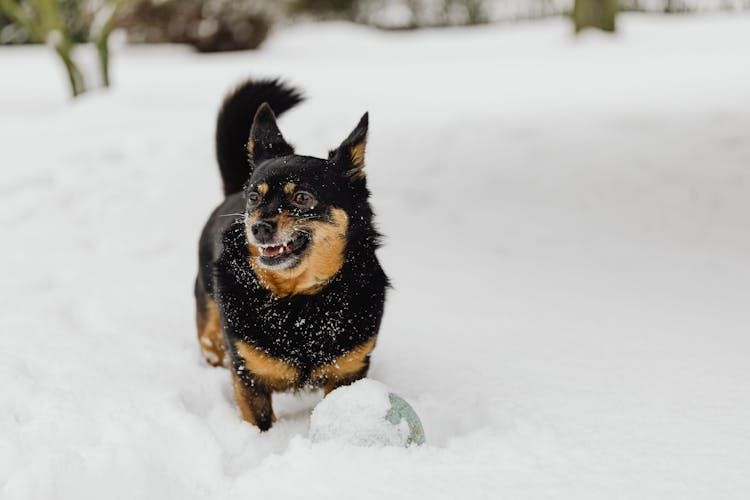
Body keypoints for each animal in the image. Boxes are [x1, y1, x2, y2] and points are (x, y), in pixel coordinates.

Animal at [194, 78, 390, 430]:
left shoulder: (348, 373)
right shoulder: (248, 377)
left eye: (301, 197)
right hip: (210, 329)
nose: (257, 227)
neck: (298, 301)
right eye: (255, 198)